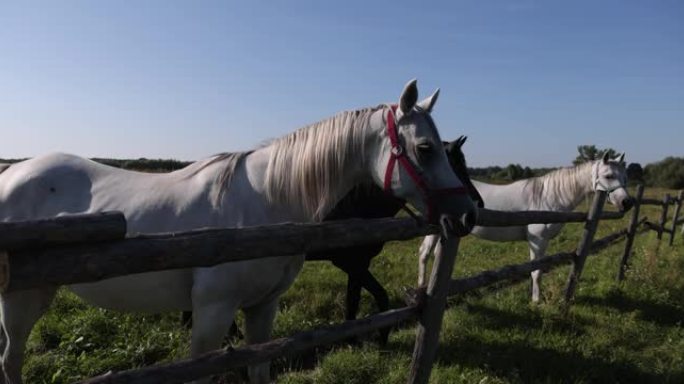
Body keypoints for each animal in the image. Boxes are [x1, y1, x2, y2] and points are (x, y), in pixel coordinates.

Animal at [182, 136, 480, 344]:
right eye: (454, 163)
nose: (475, 206)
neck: (358, 204)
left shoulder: (358, 266)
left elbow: (360, 299)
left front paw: (364, 338)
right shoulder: (352, 264)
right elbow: (370, 299)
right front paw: (368, 339)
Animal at [416, 152, 632, 302]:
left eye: (625, 177)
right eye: (608, 175)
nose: (627, 203)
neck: (548, 196)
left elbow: (535, 269)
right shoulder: (537, 240)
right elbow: (536, 270)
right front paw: (536, 300)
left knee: (430, 253)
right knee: (424, 253)